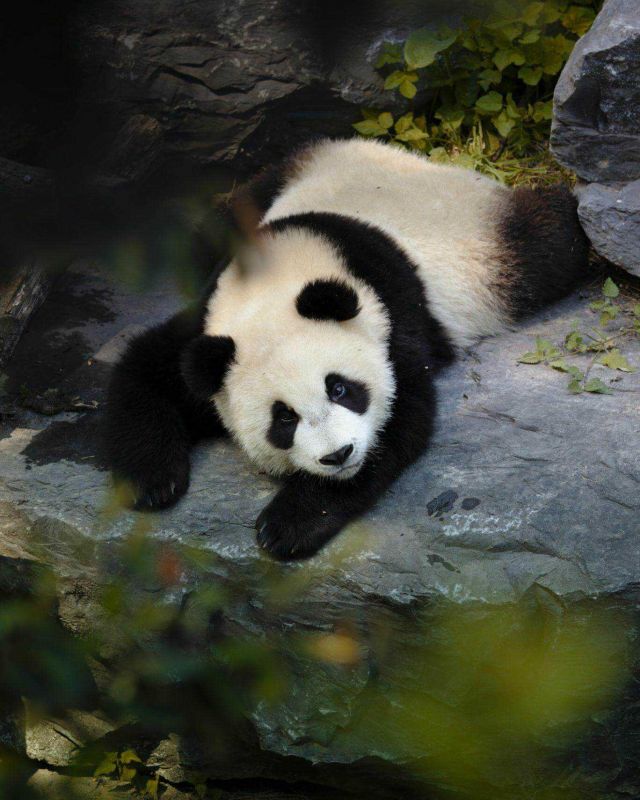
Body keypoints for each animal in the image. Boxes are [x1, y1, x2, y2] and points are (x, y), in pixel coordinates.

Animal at [104, 137, 589, 560]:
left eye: (339, 389)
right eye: (283, 418)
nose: (338, 456)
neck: (281, 277)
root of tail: (418, 160)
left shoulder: (391, 316)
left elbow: (401, 419)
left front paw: (287, 525)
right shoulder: (210, 324)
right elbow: (147, 367)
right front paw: (151, 481)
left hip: (490, 247)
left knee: (549, 240)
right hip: (282, 174)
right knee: (213, 224)